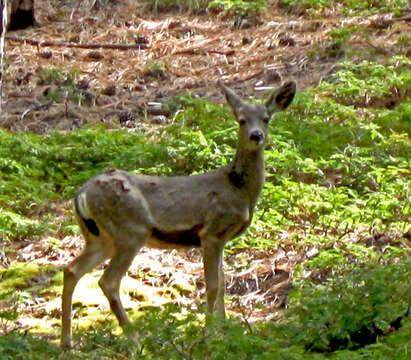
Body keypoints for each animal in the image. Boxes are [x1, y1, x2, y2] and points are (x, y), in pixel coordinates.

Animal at [61, 80, 296, 348]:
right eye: (241, 120)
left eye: (266, 118)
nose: (256, 135)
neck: (239, 189)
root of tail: (82, 194)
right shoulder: (212, 232)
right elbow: (213, 285)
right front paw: (209, 334)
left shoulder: (222, 238)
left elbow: (223, 283)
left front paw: (225, 329)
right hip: (130, 230)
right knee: (108, 281)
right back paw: (135, 340)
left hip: (99, 237)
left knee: (71, 270)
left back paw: (67, 342)